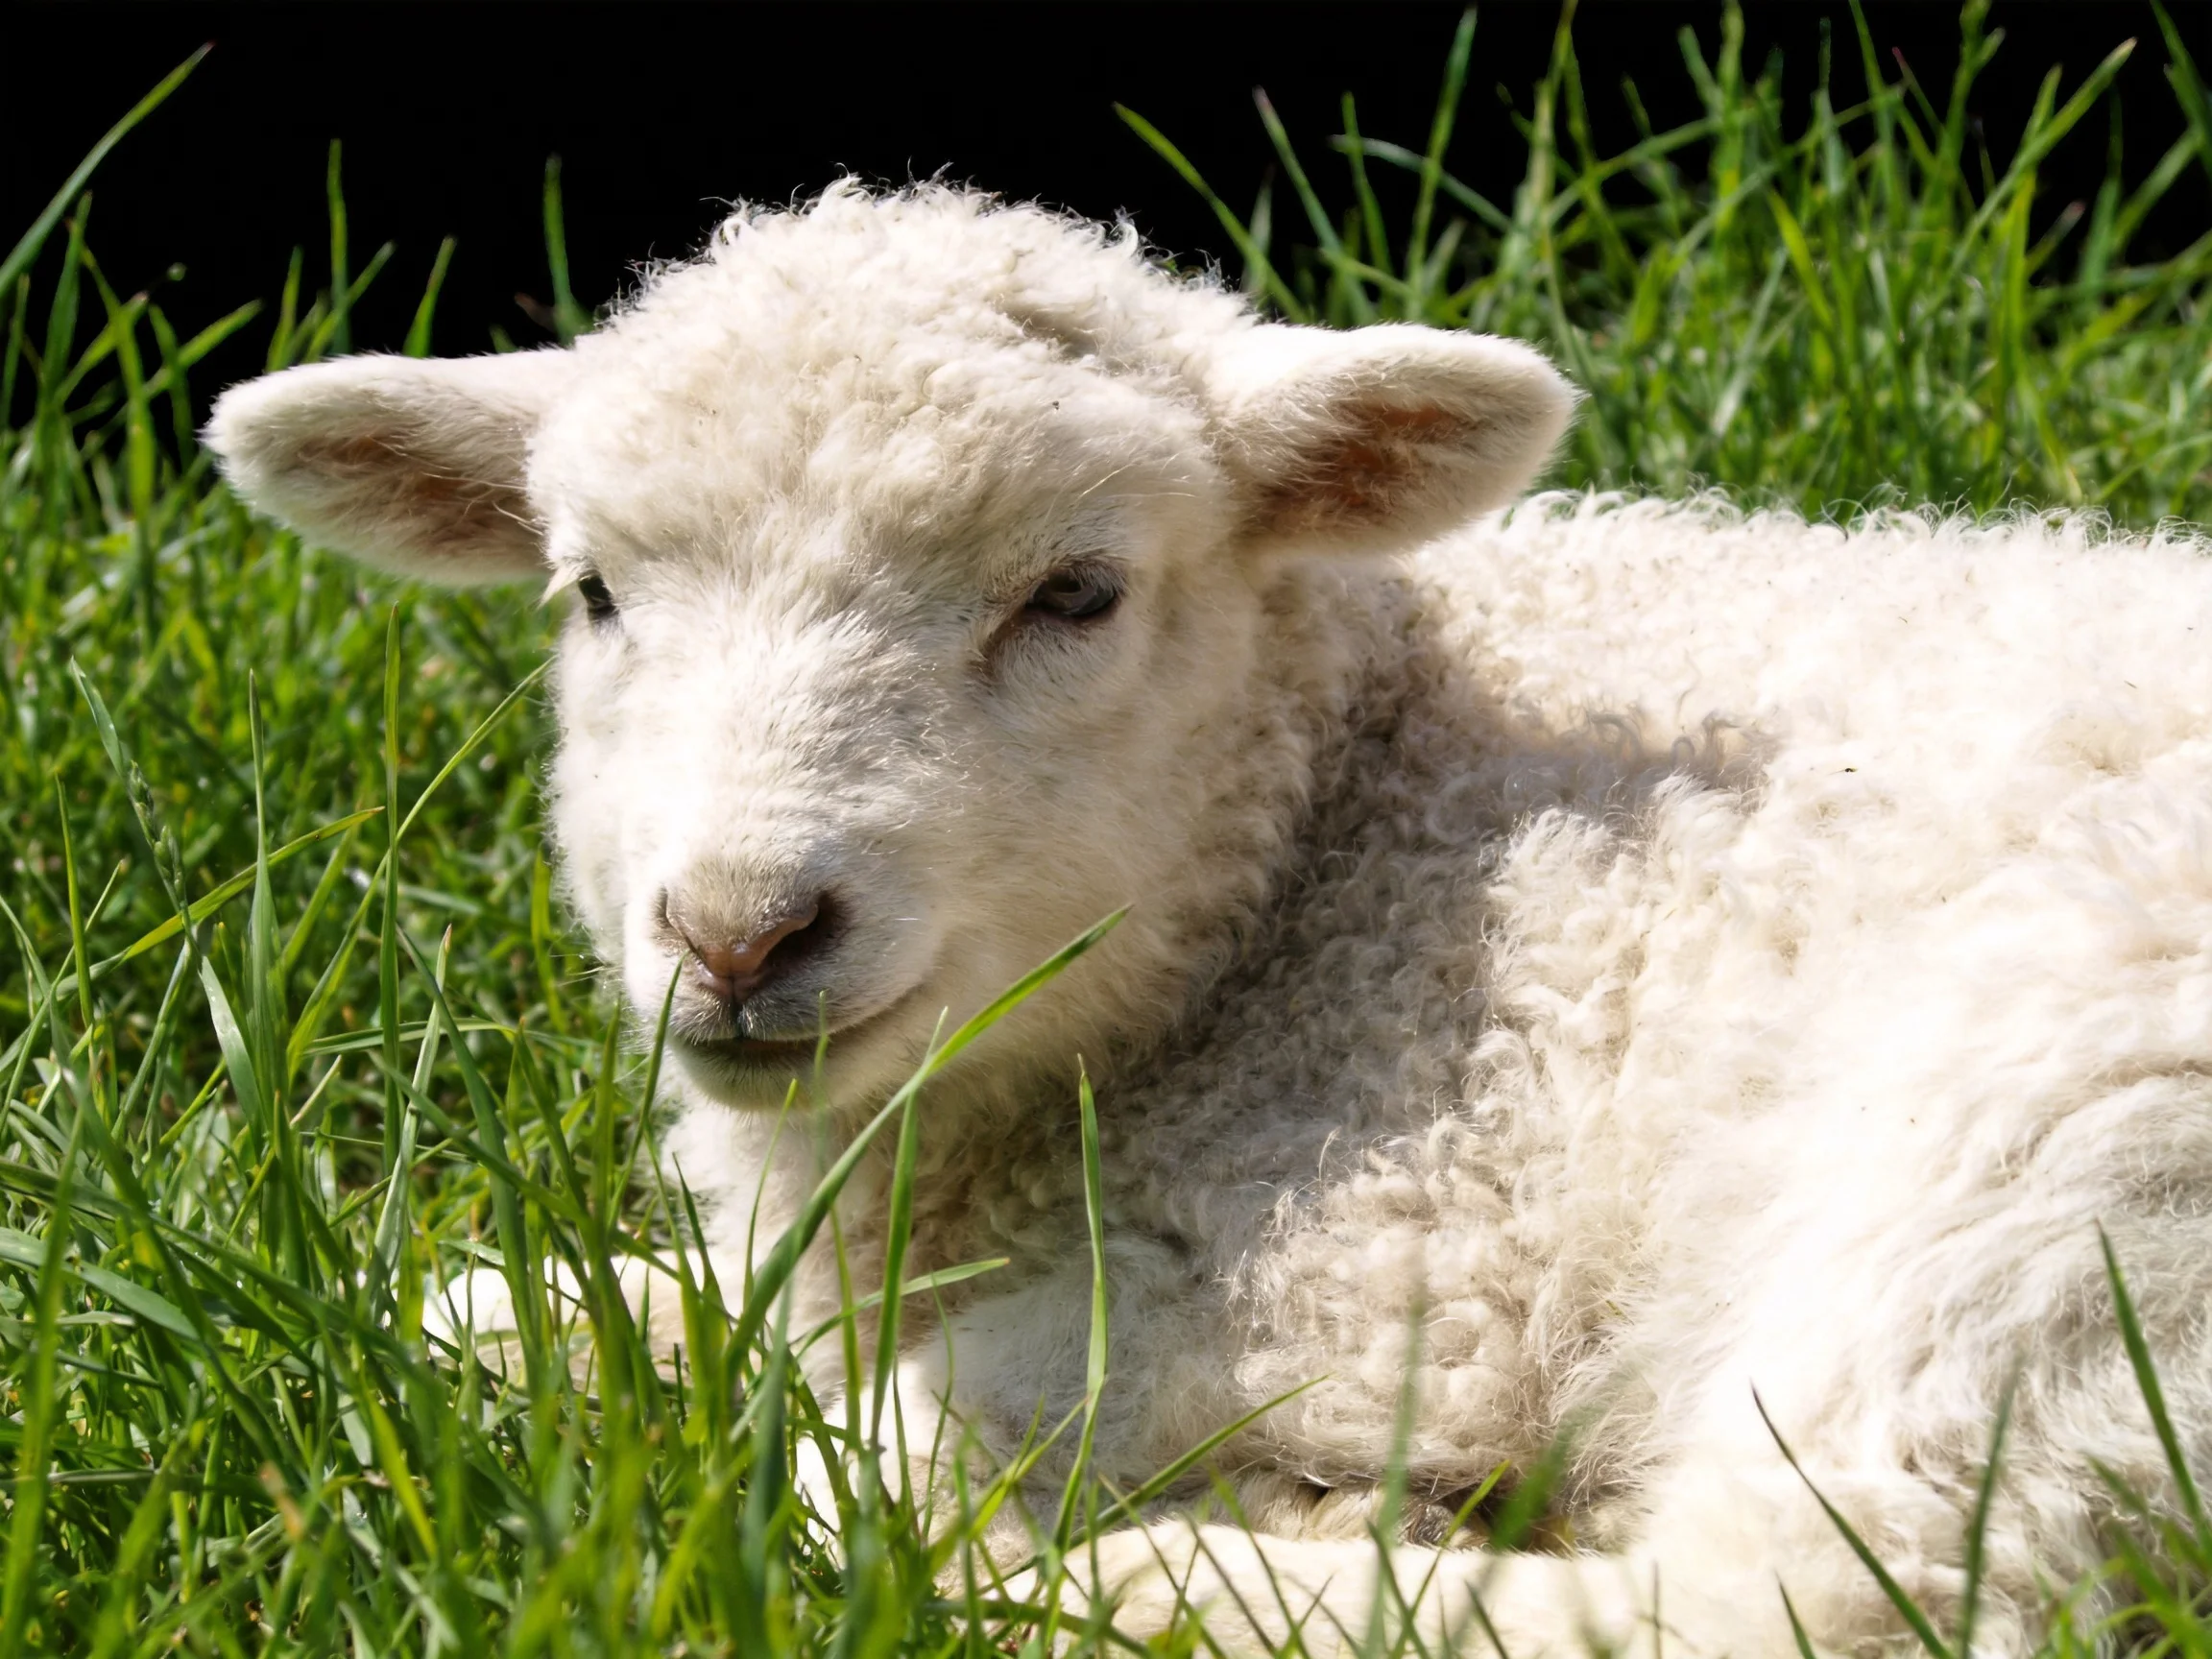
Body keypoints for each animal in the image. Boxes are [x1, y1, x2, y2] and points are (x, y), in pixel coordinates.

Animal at [205, 182, 2212, 1656]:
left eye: (1075, 591)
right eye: (594, 591)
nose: (738, 931)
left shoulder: (1389, 1259)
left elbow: (867, 1418)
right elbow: (530, 1313)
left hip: (2043, 1140)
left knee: (1809, 1587)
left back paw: (1144, 1571)